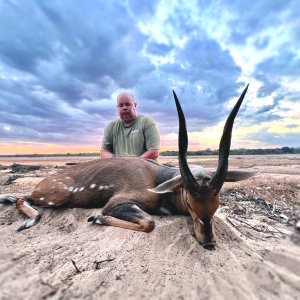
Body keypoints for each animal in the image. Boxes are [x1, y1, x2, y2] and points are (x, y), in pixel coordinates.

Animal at [0, 85, 253, 250]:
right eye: (190, 203)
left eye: (217, 204)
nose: (209, 242)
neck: (160, 179)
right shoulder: (117, 202)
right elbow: (149, 222)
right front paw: (97, 218)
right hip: (59, 196)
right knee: (24, 199)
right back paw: (28, 220)